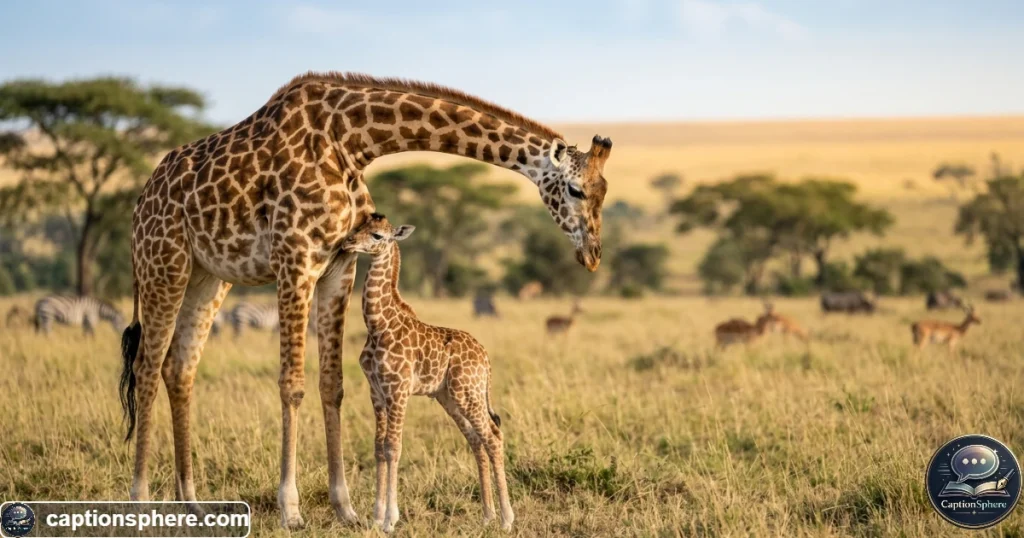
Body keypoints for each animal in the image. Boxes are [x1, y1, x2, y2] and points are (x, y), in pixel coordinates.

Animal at [343, 214, 512, 532]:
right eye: (357, 227)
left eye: (376, 235)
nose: (347, 243)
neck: (378, 325)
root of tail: (485, 358)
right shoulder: (376, 392)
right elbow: (378, 448)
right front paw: (376, 517)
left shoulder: (398, 390)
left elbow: (393, 447)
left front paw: (390, 519)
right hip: (450, 397)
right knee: (476, 441)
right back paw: (487, 516)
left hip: (467, 393)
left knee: (493, 436)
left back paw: (507, 519)